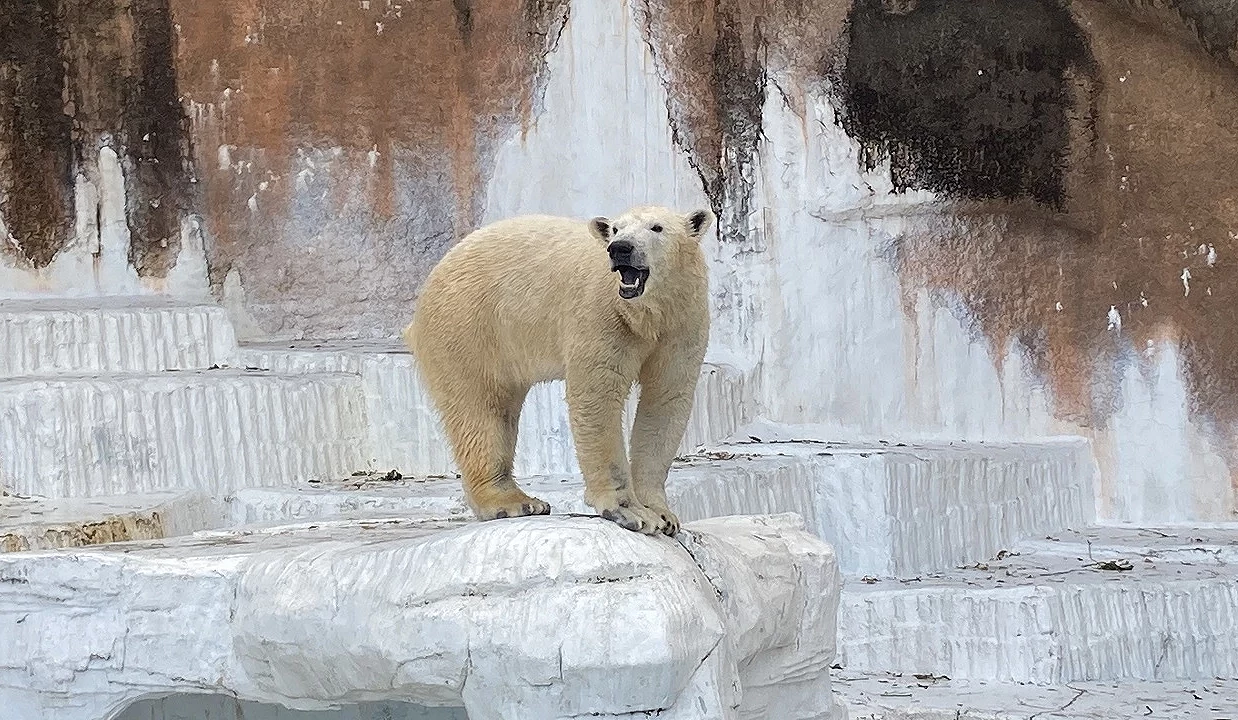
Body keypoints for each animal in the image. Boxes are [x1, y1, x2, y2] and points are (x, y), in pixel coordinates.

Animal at [404, 206, 713, 536]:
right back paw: (512, 503)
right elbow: (597, 396)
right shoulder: (602, 315)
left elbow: (665, 399)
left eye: (657, 227)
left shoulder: (682, 324)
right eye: (616, 229)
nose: (620, 249)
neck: (648, 314)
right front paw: (630, 512)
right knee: (480, 408)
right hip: (468, 325)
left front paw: (663, 514)